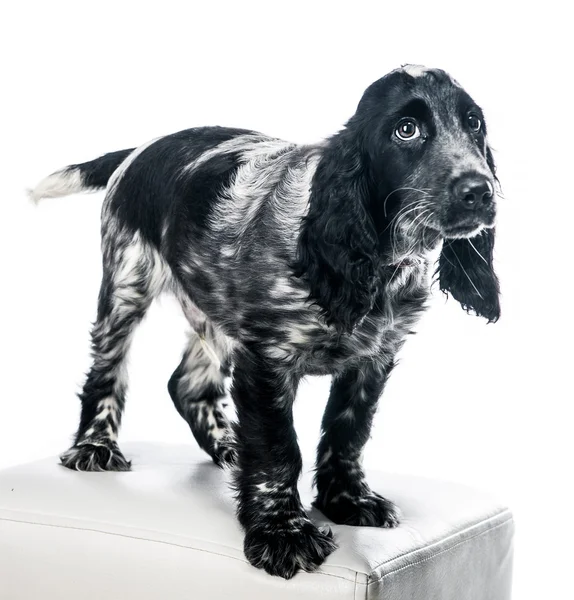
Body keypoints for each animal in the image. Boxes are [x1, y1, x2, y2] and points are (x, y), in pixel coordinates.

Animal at [30, 67, 500, 580]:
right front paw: (282, 533)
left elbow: (348, 430)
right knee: (108, 370)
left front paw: (347, 499)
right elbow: (279, 447)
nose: (479, 191)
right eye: (406, 130)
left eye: (474, 123)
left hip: (214, 309)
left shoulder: (374, 357)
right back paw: (94, 447)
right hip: (128, 280)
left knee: (189, 383)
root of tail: (141, 148)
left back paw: (229, 446)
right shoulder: (266, 358)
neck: (373, 262)